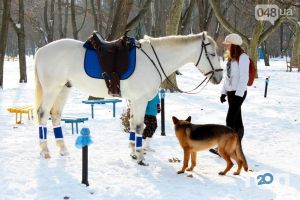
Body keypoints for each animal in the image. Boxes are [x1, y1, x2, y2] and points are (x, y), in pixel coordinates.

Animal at [34, 32, 223, 165]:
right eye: (212, 54)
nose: (219, 77)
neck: (154, 60)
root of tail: (41, 50)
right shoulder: (140, 100)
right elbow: (139, 127)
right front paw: (140, 157)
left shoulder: (134, 100)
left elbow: (132, 124)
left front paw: (132, 152)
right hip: (51, 89)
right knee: (43, 114)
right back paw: (45, 151)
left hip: (63, 89)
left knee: (55, 115)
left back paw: (63, 149)